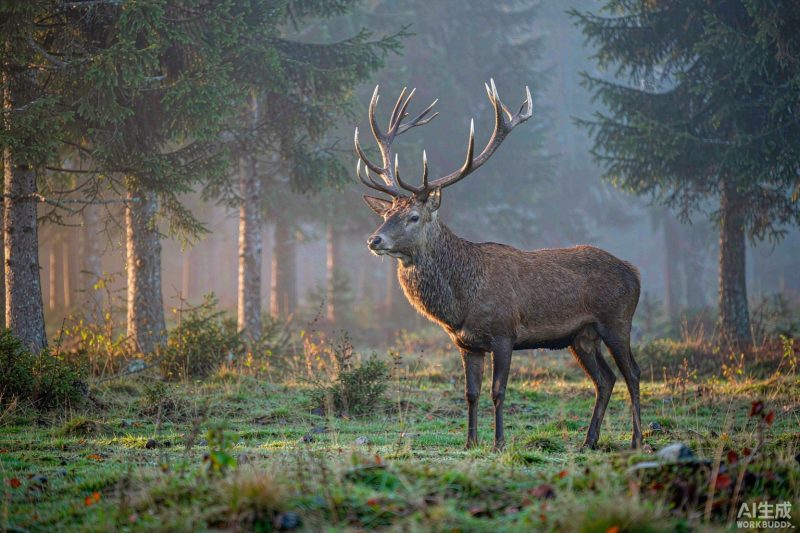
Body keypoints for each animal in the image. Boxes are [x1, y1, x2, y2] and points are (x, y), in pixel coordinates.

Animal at [355, 81, 642, 451]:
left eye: (413, 216)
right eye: (387, 214)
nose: (374, 240)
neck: (461, 303)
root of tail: (634, 272)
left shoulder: (505, 332)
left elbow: (498, 391)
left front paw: (499, 443)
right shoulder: (466, 343)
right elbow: (471, 393)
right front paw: (469, 442)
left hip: (616, 320)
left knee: (632, 373)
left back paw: (637, 439)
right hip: (581, 336)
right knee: (605, 379)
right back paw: (588, 441)